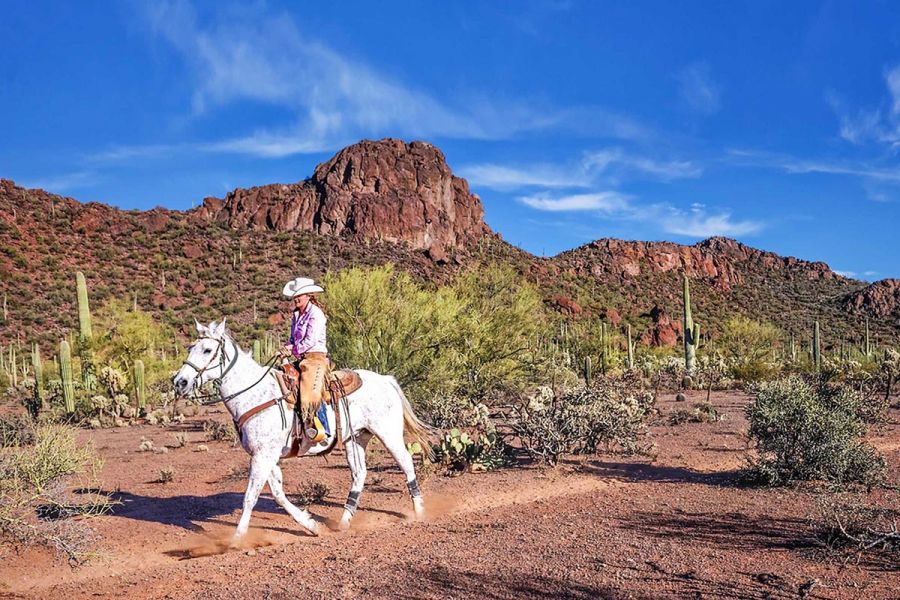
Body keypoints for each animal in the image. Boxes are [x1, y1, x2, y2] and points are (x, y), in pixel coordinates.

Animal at [172, 318, 434, 542]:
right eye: (190, 347)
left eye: (207, 350)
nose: (179, 382)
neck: (255, 394)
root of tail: (386, 379)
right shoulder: (265, 455)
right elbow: (277, 493)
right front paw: (311, 525)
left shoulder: (263, 455)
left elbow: (250, 496)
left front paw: (236, 540)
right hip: (355, 438)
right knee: (359, 474)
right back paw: (344, 522)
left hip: (388, 434)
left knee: (406, 463)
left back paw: (420, 512)